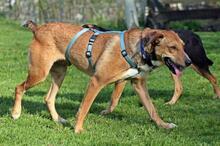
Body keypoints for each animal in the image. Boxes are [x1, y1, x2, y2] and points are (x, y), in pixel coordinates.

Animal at [12, 20, 191, 133]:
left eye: (183, 46)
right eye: (172, 47)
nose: (189, 62)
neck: (138, 48)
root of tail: (38, 28)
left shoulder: (138, 85)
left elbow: (152, 110)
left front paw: (163, 125)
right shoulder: (96, 82)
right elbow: (84, 108)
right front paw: (78, 129)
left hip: (59, 73)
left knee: (48, 98)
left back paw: (58, 120)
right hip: (39, 74)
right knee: (19, 88)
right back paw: (15, 113)